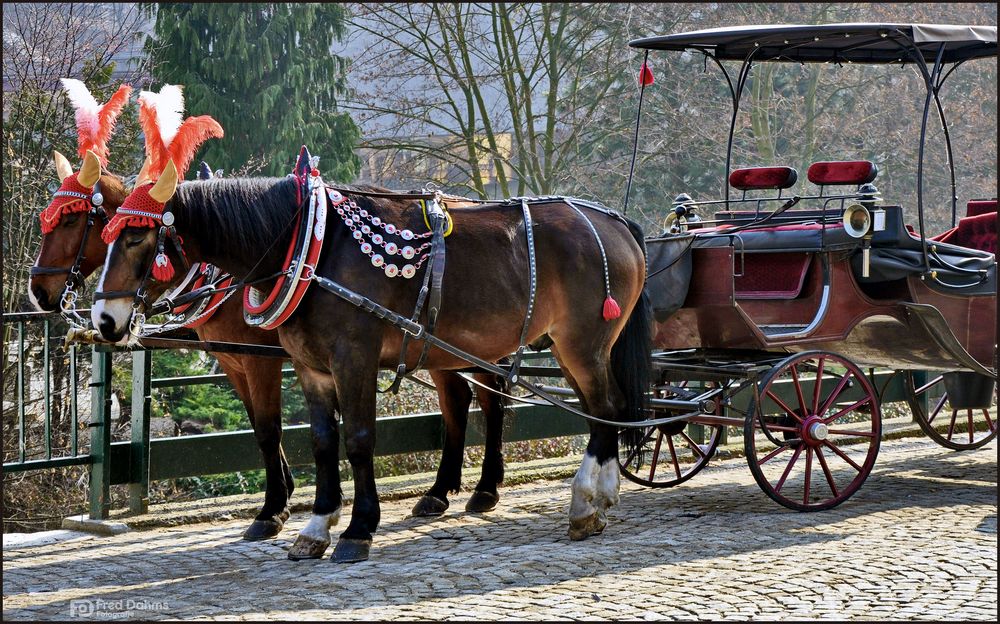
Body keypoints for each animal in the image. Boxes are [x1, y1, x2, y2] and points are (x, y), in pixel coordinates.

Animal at [33, 154, 508, 540]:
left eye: (72, 221)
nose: (38, 291)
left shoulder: (261, 361)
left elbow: (268, 429)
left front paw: (274, 508)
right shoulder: (236, 362)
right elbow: (266, 427)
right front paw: (294, 499)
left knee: (486, 398)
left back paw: (482, 488)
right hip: (438, 348)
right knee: (461, 400)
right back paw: (444, 491)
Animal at [90, 158, 644, 564]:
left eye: (137, 238)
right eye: (105, 234)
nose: (104, 320)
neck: (312, 247)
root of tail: (613, 222)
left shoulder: (351, 358)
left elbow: (357, 439)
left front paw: (358, 528)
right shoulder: (311, 367)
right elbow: (321, 442)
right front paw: (316, 525)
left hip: (582, 344)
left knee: (602, 409)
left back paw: (584, 502)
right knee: (596, 411)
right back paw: (596, 494)